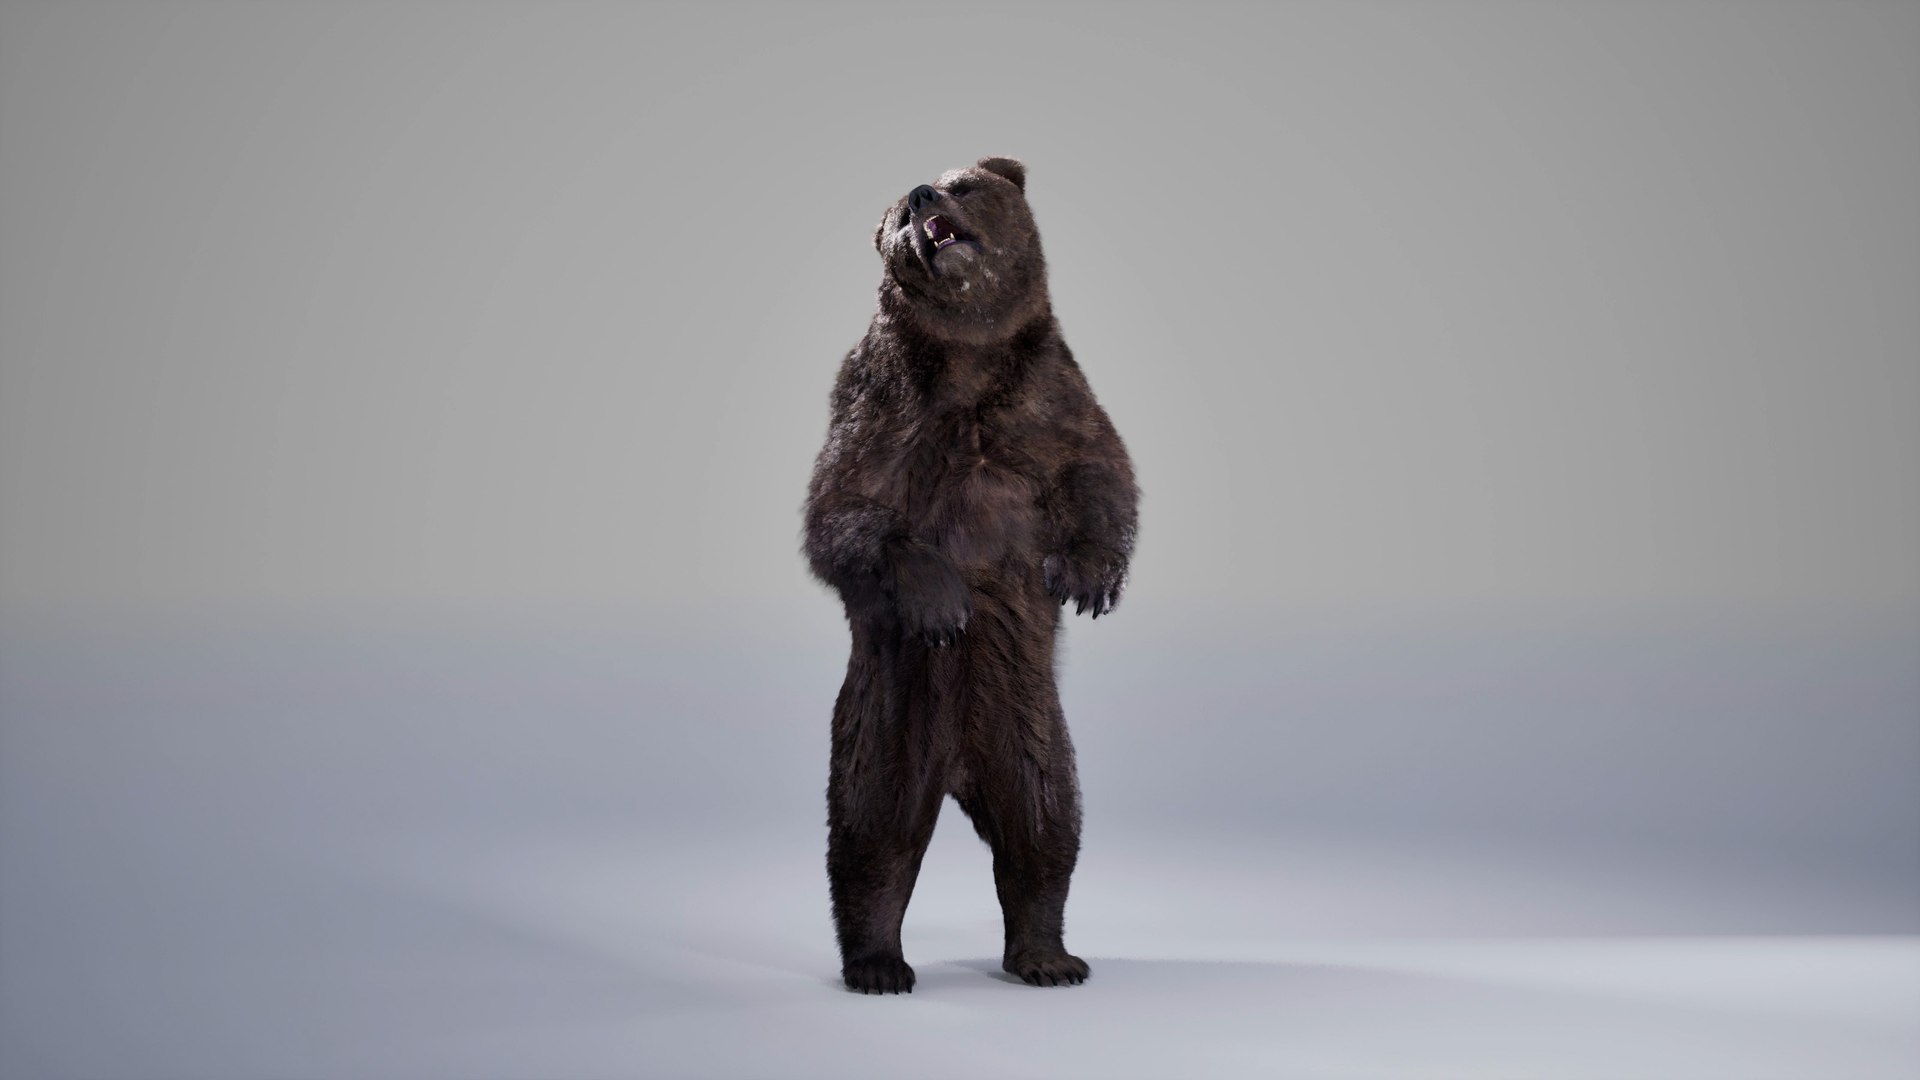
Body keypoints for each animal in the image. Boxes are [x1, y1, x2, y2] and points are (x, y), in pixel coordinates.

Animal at [801, 156, 1139, 993]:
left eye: (961, 182)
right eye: (897, 214)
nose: (922, 197)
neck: (965, 358)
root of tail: (957, 776)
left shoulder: (1055, 397)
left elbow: (1103, 470)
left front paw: (1088, 578)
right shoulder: (872, 406)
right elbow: (842, 510)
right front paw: (942, 600)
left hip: (1032, 728)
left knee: (1044, 831)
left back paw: (1049, 956)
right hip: (884, 726)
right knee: (871, 840)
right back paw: (878, 964)